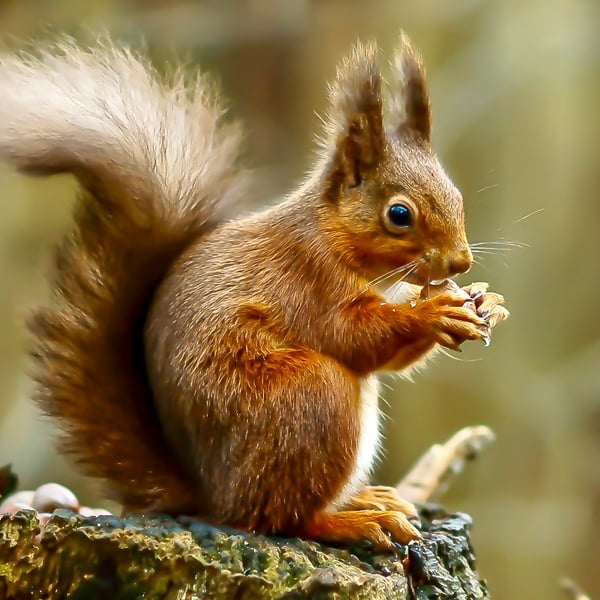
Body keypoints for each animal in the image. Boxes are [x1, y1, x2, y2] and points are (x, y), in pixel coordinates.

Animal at [0, 34, 506, 552]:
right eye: (399, 214)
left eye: (457, 197)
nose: (460, 263)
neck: (334, 239)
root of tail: (212, 494)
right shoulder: (307, 279)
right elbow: (351, 336)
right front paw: (435, 313)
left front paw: (485, 301)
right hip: (307, 397)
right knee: (279, 517)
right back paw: (353, 521)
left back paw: (367, 499)